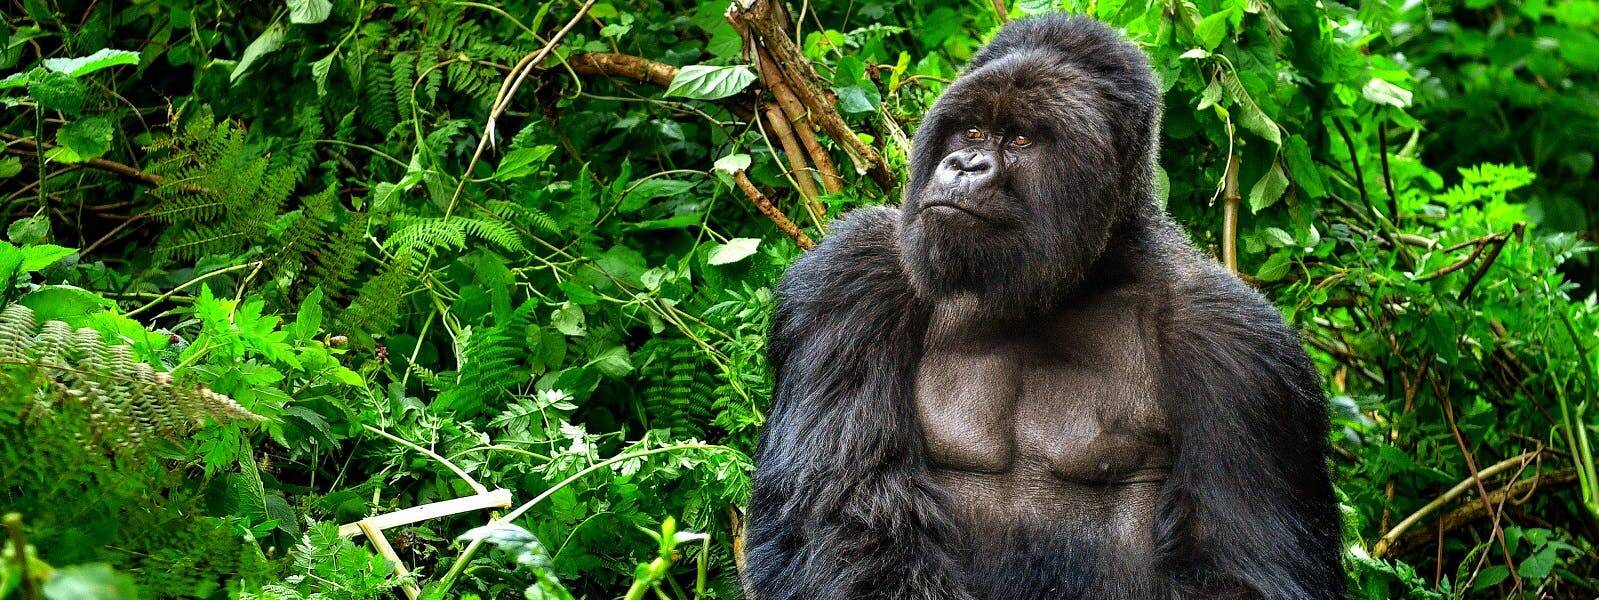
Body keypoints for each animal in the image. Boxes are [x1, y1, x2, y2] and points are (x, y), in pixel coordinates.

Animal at [743, 14, 1343, 600]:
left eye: (1022, 138)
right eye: (973, 131)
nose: (965, 164)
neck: (1075, 279)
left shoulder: (1237, 349)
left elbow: (1241, 569)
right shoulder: (853, 277)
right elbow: (840, 514)